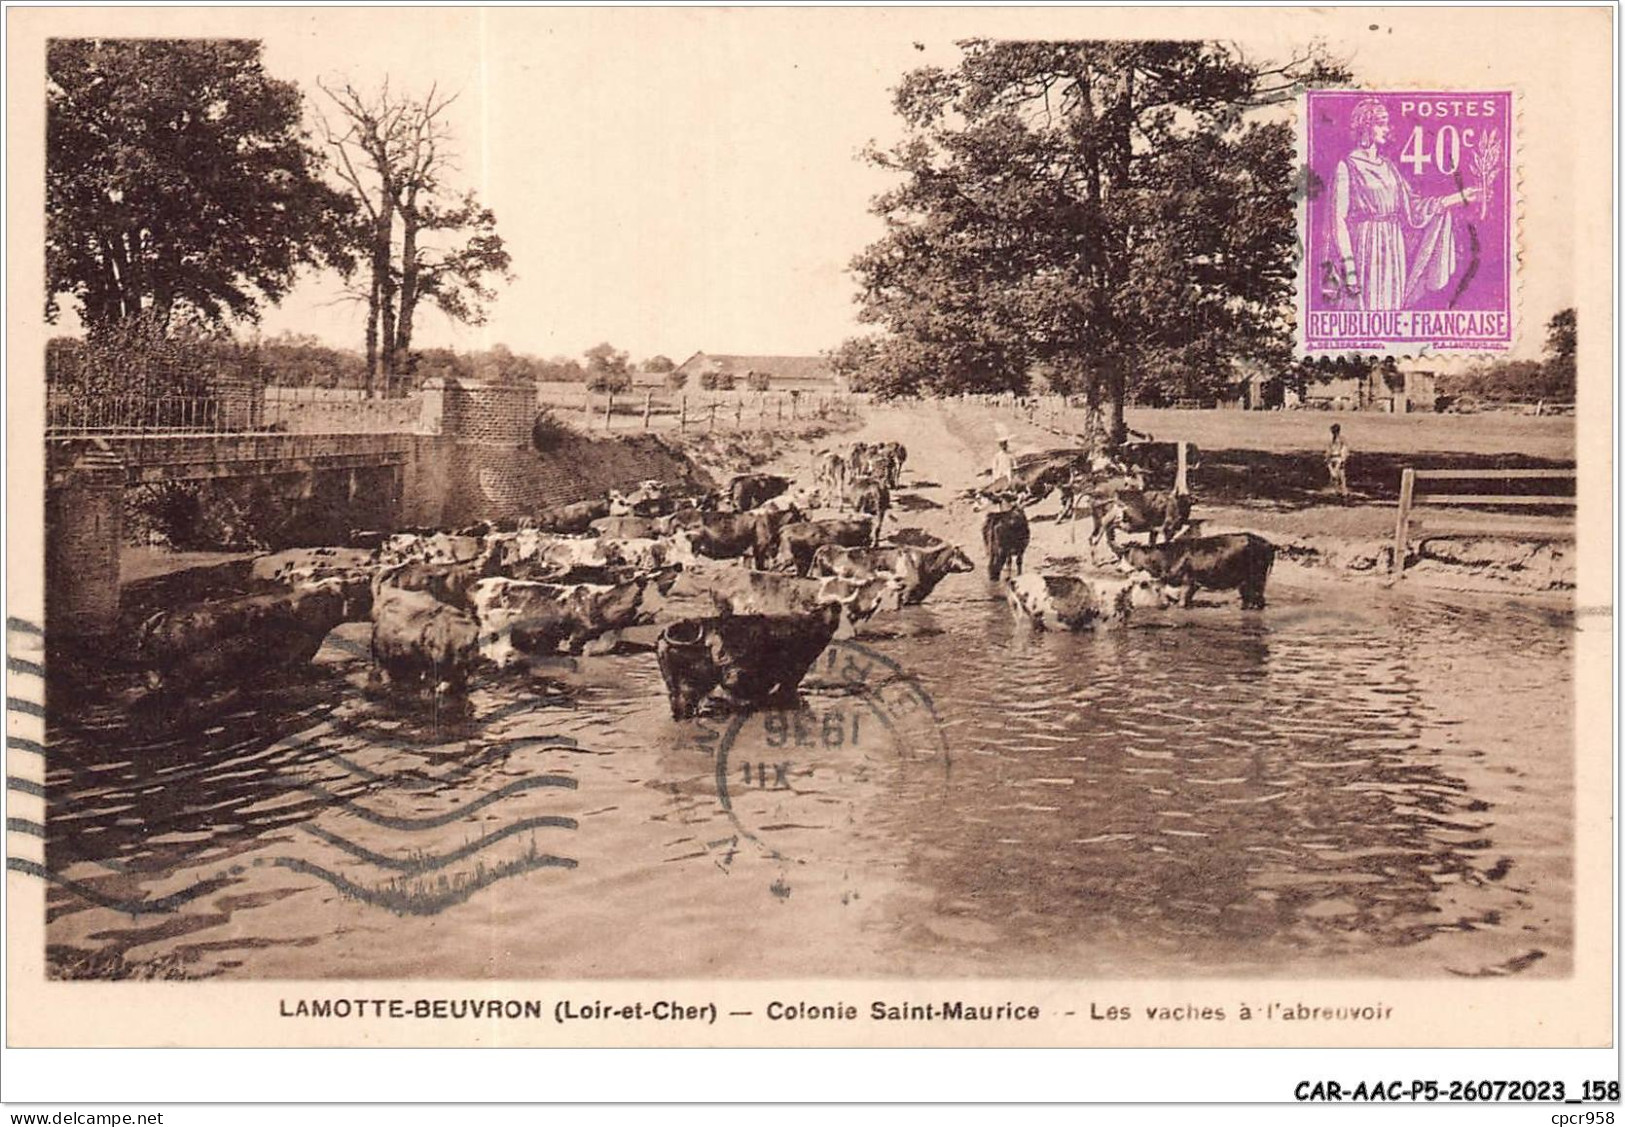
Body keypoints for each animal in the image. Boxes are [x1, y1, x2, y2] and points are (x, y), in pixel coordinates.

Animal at [1111, 535, 1274, 610]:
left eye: (1127, 555)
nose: (1118, 568)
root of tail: (1267, 543)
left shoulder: (1188, 582)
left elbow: (1182, 603)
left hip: (1257, 577)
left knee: (1258, 598)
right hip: (1247, 580)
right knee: (1252, 598)